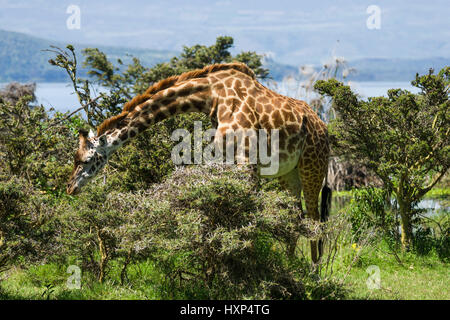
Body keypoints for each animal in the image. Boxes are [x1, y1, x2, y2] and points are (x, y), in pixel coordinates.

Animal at [67, 62, 334, 262]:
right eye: (74, 158)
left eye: (85, 159)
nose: (70, 188)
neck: (211, 96)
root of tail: (323, 126)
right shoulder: (227, 160)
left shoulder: (247, 162)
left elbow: (251, 216)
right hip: (289, 174)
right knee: (295, 217)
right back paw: (292, 267)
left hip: (312, 166)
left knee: (314, 218)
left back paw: (314, 272)